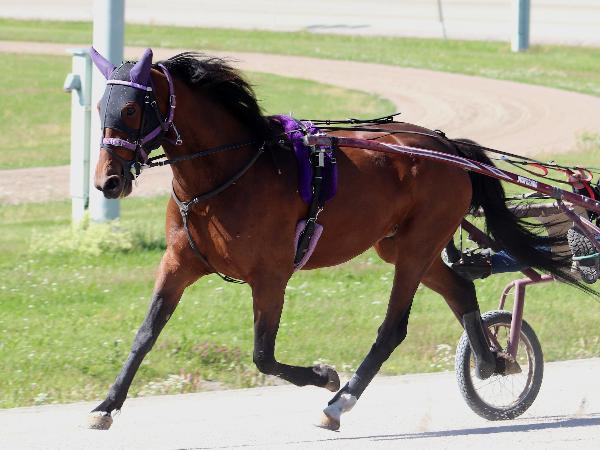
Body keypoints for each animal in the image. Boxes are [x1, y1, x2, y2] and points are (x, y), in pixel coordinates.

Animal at [87, 47, 578, 431]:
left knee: (392, 328)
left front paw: (324, 376)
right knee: (458, 289)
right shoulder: (179, 262)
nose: (107, 181)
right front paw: (106, 405)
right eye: (98, 107)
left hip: (418, 244)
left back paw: (339, 403)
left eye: (131, 109)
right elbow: (145, 333)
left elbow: (263, 356)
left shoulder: (271, 275)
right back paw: (493, 361)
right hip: (399, 244)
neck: (228, 174)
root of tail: (449, 147)